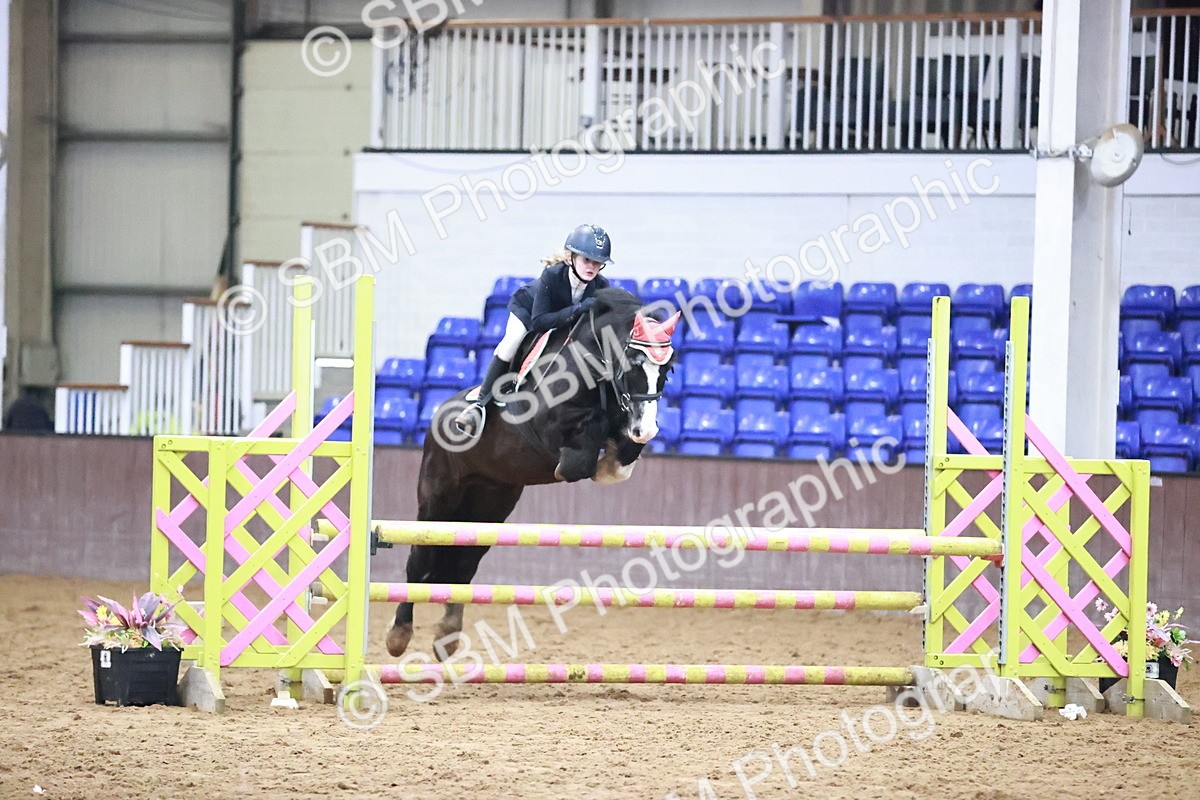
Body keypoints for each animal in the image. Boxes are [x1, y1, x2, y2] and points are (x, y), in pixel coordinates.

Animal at [386, 287, 680, 658]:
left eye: (667, 369)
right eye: (633, 364)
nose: (646, 428)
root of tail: (437, 415)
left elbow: (622, 452)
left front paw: (615, 456)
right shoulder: (546, 427)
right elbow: (579, 456)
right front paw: (596, 457)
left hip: (490, 505)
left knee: (464, 562)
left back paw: (447, 637)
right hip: (438, 498)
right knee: (420, 558)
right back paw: (398, 635)